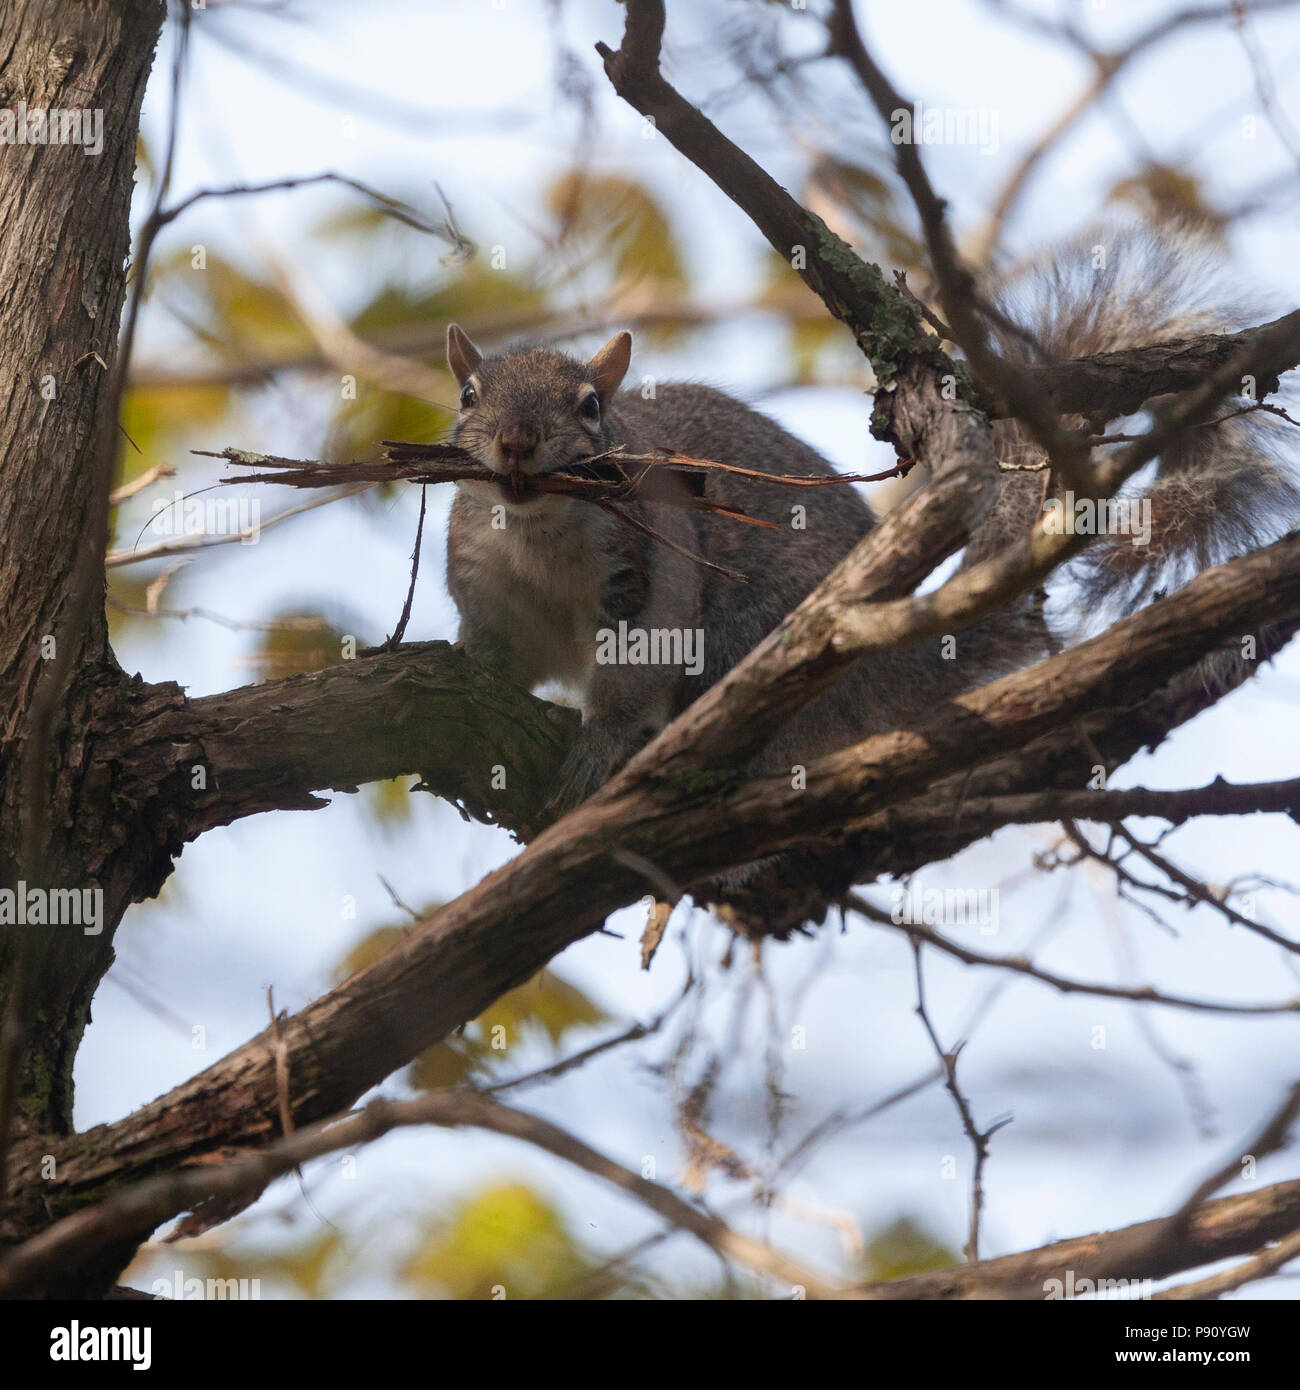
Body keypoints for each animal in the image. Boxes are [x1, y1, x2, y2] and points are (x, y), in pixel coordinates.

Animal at [444, 226, 1298, 877]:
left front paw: (602, 746)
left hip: (747, 638)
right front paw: (457, 672)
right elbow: (491, 655)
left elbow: (628, 680)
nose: (516, 443)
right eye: (469, 397)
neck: (537, 533)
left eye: (591, 407)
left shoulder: (649, 582)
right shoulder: (489, 592)